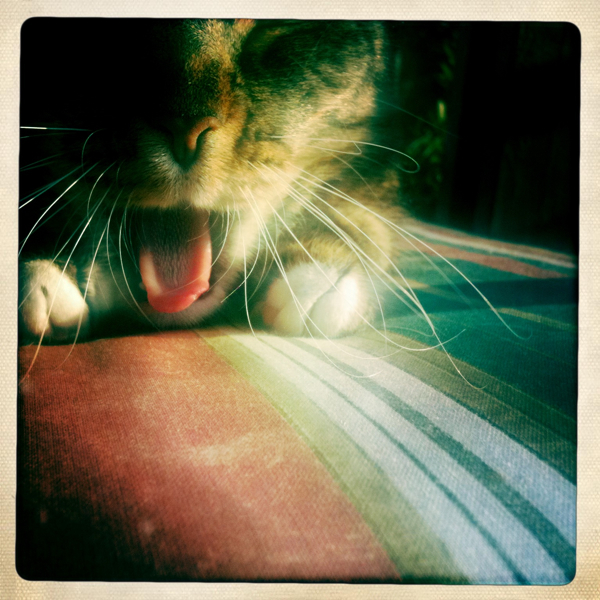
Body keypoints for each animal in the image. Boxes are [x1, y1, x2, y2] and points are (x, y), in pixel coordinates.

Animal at [19, 18, 413, 345]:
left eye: (273, 23)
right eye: (99, 30)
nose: (183, 126)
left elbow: (361, 211)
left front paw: (318, 271)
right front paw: (46, 269)